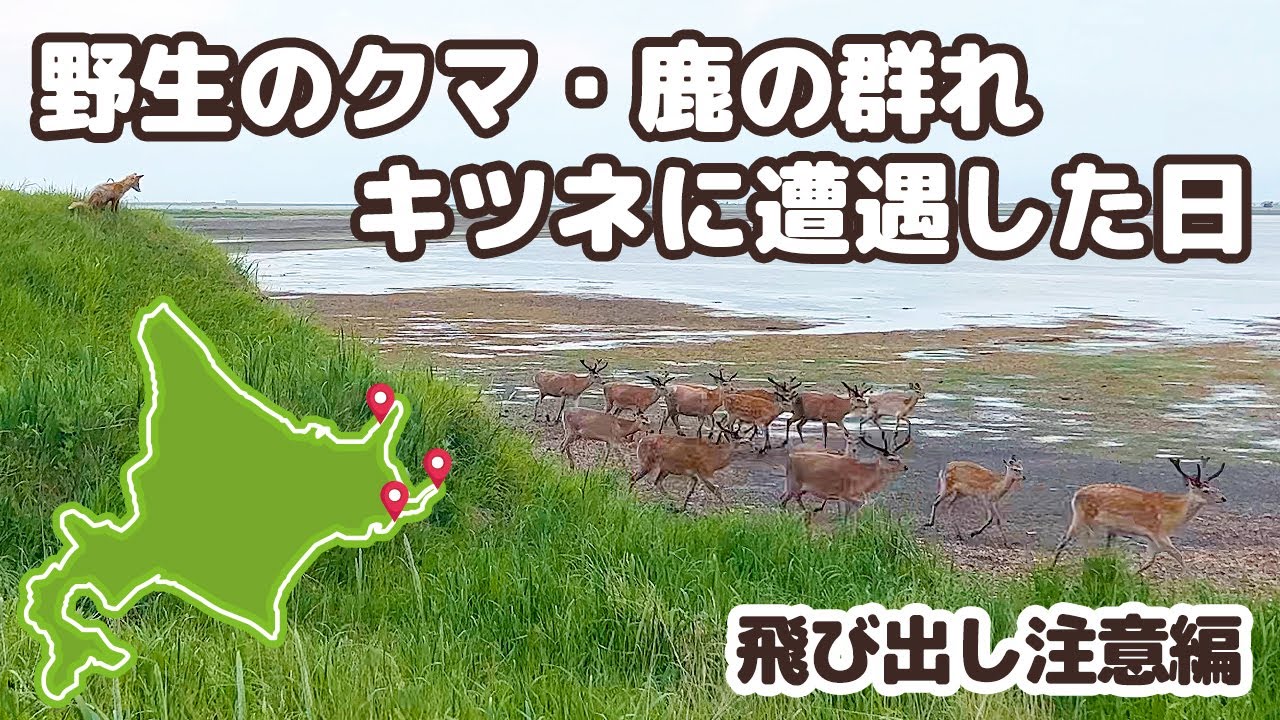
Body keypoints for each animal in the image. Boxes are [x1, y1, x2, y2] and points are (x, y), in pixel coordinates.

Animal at [780, 425, 912, 522]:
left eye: (899, 457)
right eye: (891, 459)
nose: (905, 467)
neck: (864, 479)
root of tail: (789, 457)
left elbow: (848, 513)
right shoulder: (845, 493)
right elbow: (858, 506)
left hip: (793, 486)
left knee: (784, 498)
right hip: (794, 484)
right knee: (786, 500)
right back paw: (804, 513)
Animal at [1051, 456, 1227, 573]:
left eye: (1216, 488)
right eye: (1206, 490)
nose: (1223, 498)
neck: (1172, 517)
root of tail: (1076, 495)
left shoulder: (1152, 538)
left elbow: (1149, 561)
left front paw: (1132, 575)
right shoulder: (1158, 533)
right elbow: (1178, 555)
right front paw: (1191, 579)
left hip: (1081, 519)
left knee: (1066, 540)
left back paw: (1053, 567)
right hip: (1087, 520)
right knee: (1082, 544)